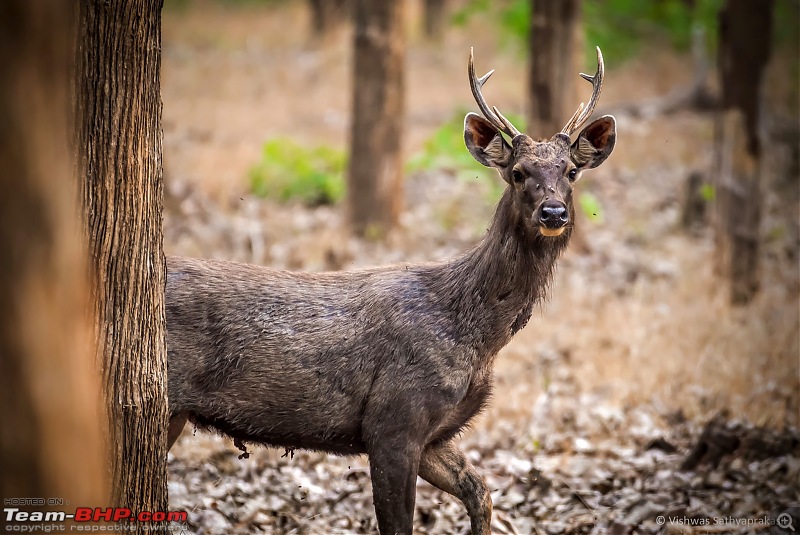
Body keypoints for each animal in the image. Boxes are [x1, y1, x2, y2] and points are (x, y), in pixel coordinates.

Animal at [167, 48, 620, 532]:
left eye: (571, 171)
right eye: (517, 172)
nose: (553, 212)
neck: (475, 335)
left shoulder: (436, 433)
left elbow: (481, 494)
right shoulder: (393, 418)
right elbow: (400, 522)